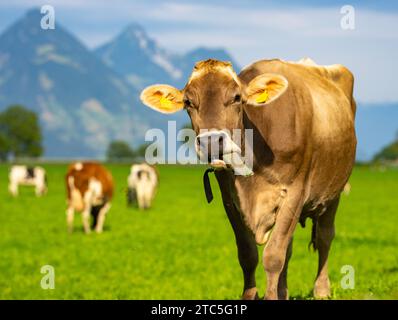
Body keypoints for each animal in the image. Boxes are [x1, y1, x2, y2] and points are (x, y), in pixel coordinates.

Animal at [140, 58, 358, 300]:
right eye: (188, 101)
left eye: (236, 97)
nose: (211, 142)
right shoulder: (229, 198)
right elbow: (248, 254)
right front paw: (252, 295)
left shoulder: (296, 192)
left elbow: (274, 255)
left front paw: (271, 297)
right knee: (290, 247)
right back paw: (283, 291)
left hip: (334, 192)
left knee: (324, 236)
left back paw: (321, 290)